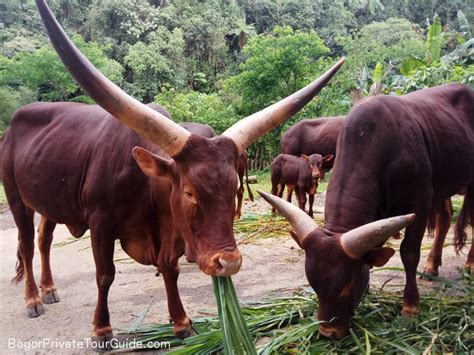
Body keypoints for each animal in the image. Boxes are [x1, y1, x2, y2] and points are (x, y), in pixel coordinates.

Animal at [0, 0, 342, 350]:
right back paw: (33, 299)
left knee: (44, 239)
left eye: (232, 187)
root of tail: (14, 124)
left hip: (49, 201)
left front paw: (181, 322)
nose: (229, 263)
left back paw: (49, 289)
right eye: (190, 191)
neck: (141, 183)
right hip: (15, 196)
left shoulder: (168, 225)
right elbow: (105, 274)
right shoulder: (100, 222)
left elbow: (169, 267)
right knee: (27, 243)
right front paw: (102, 330)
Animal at [260, 82, 474, 340]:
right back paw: (432, 266)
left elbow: (409, 253)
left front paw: (410, 305)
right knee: (444, 219)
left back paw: (470, 266)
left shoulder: (420, 203)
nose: (328, 331)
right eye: (313, 284)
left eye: (347, 286)